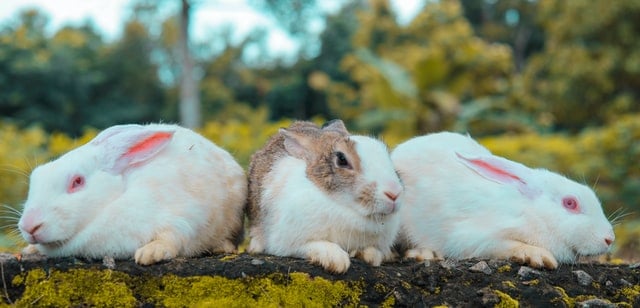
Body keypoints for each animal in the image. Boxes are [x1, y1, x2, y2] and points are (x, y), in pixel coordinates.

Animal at [16, 122, 248, 264]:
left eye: (77, 182)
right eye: (36, 176)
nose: (29, 227)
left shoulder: (185, 215)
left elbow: (172, 236)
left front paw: (150, 253)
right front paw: (30, 250)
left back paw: (223, 248)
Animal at [246, 119, 402, 274]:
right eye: (342, 159)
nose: (394, 194)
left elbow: (372, 252)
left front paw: (369, 256)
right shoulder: (286, 241)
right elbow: (311, 245)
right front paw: (336, 260)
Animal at [390, 132, 616, 270]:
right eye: (570, 203)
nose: (609, 239)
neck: (533, 213)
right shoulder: (475, 238)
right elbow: (507, 245)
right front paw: (538, 256)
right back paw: (424, 254)